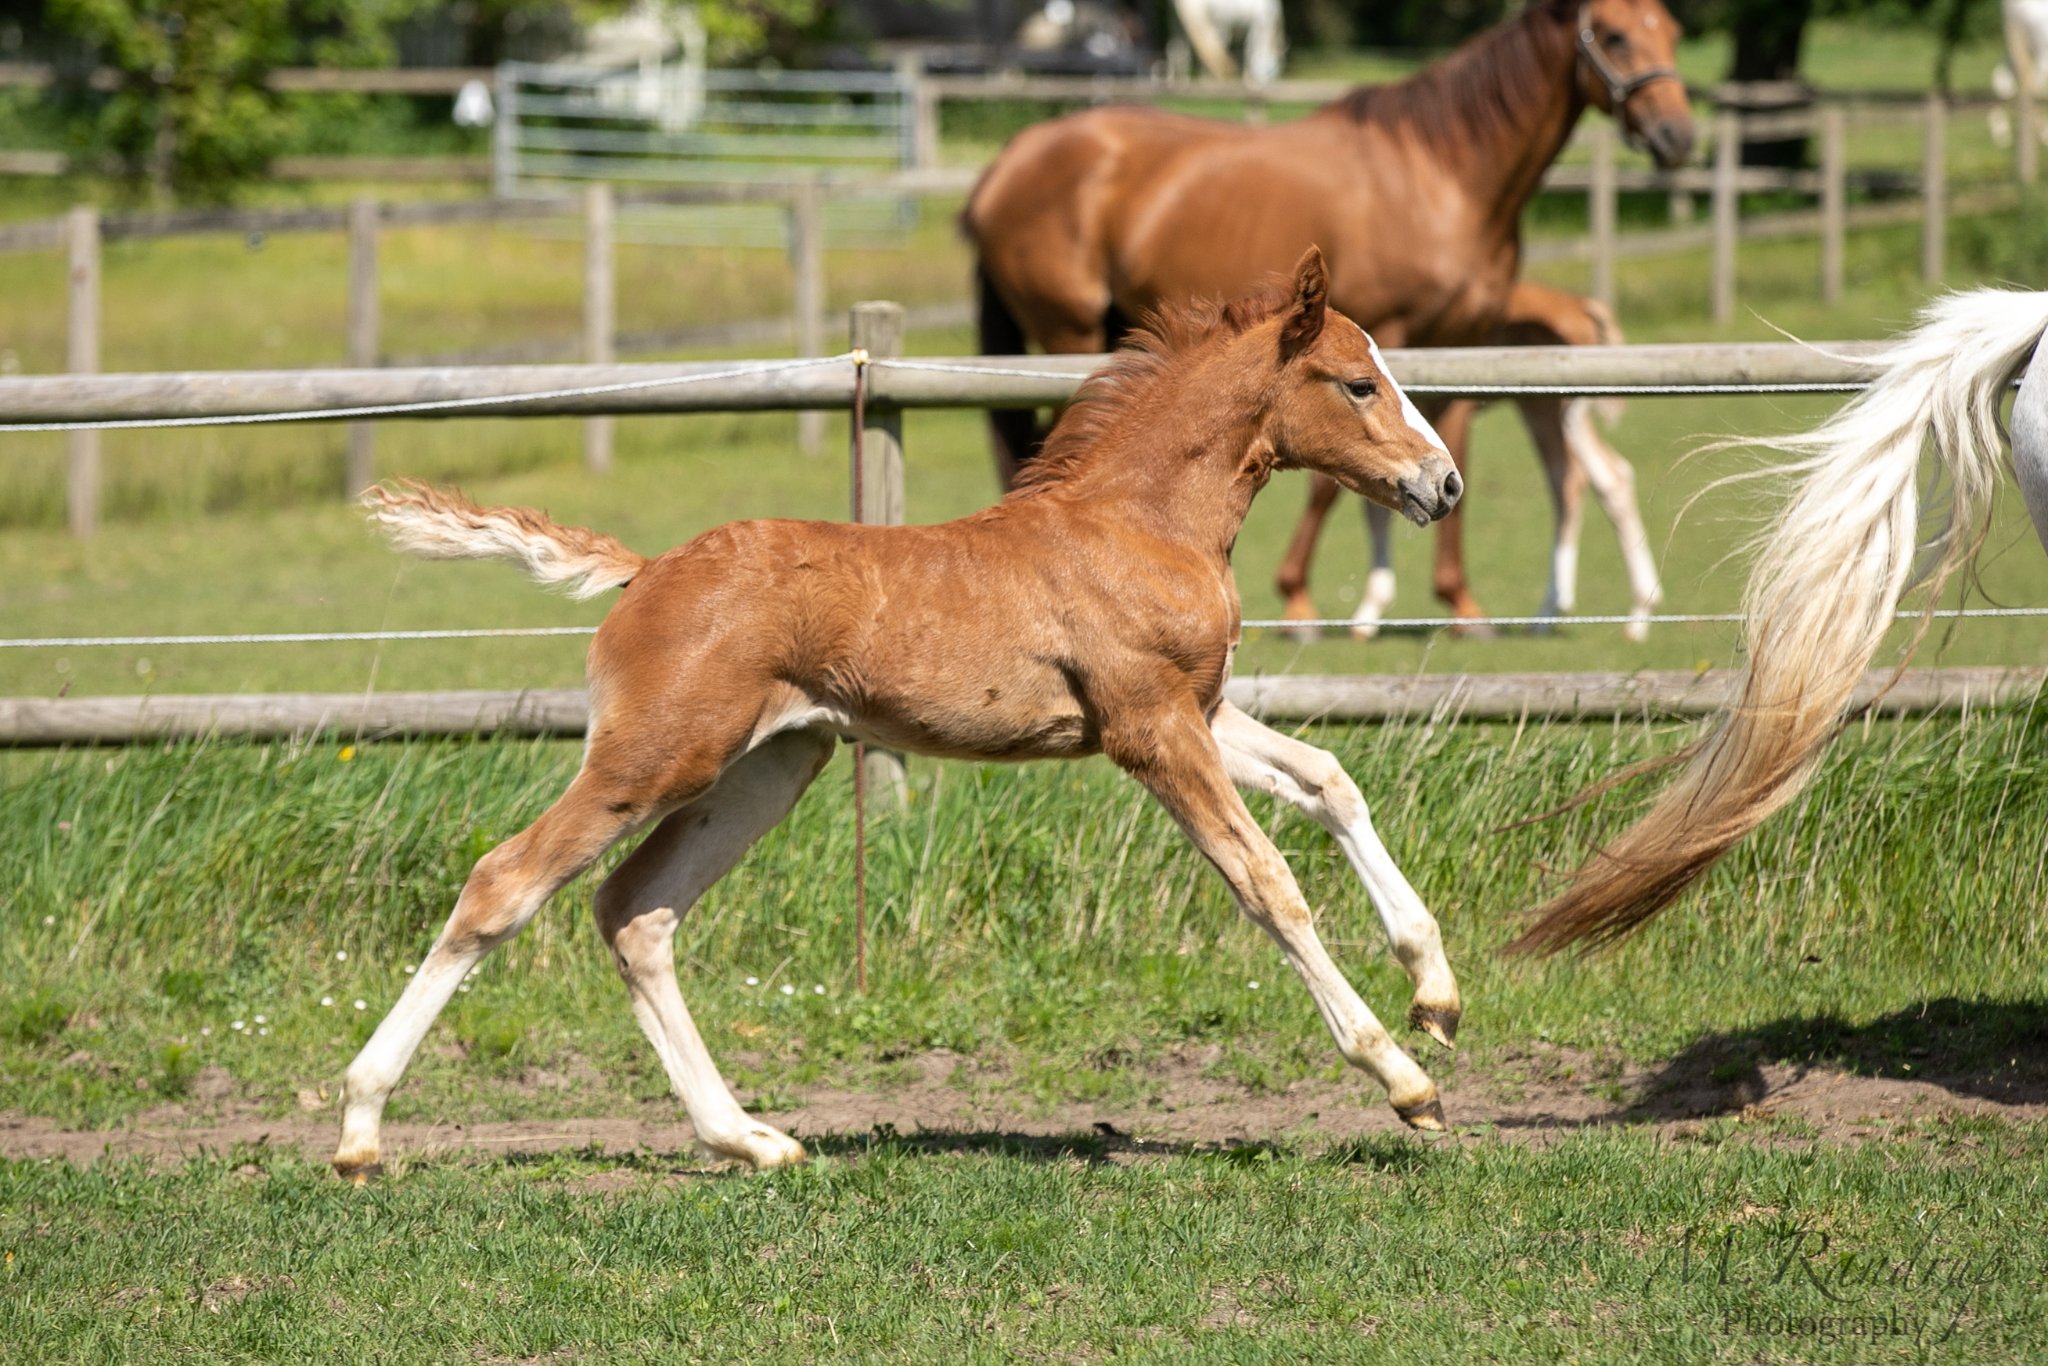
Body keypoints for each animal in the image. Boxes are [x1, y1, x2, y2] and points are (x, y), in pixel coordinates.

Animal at [335, 253, 1466, 1179]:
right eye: (1358, 382)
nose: (1445, 483)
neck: (1137, 521)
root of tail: (645, 570)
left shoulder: (1193, 708)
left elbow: (1329, 781)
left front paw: (1436, 994)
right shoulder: (1150, 728)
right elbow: (1267, 883)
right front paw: (1404, 1079)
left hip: (768, 766)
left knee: (637, 911)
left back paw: (751, 1139)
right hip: (655, 756)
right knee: (506, 882)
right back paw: (358, 1129)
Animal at [962, 0, 1695, 626]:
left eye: (1672, 31)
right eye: (1615, 35)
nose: (1677, 135)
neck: (1442, 175)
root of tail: (1008, 160)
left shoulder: (1458, 344)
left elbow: (1446, 453)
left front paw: (1459, 603)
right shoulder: (1387, 335)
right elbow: (1329, 484)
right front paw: (1301, 600)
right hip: (1068, 329)